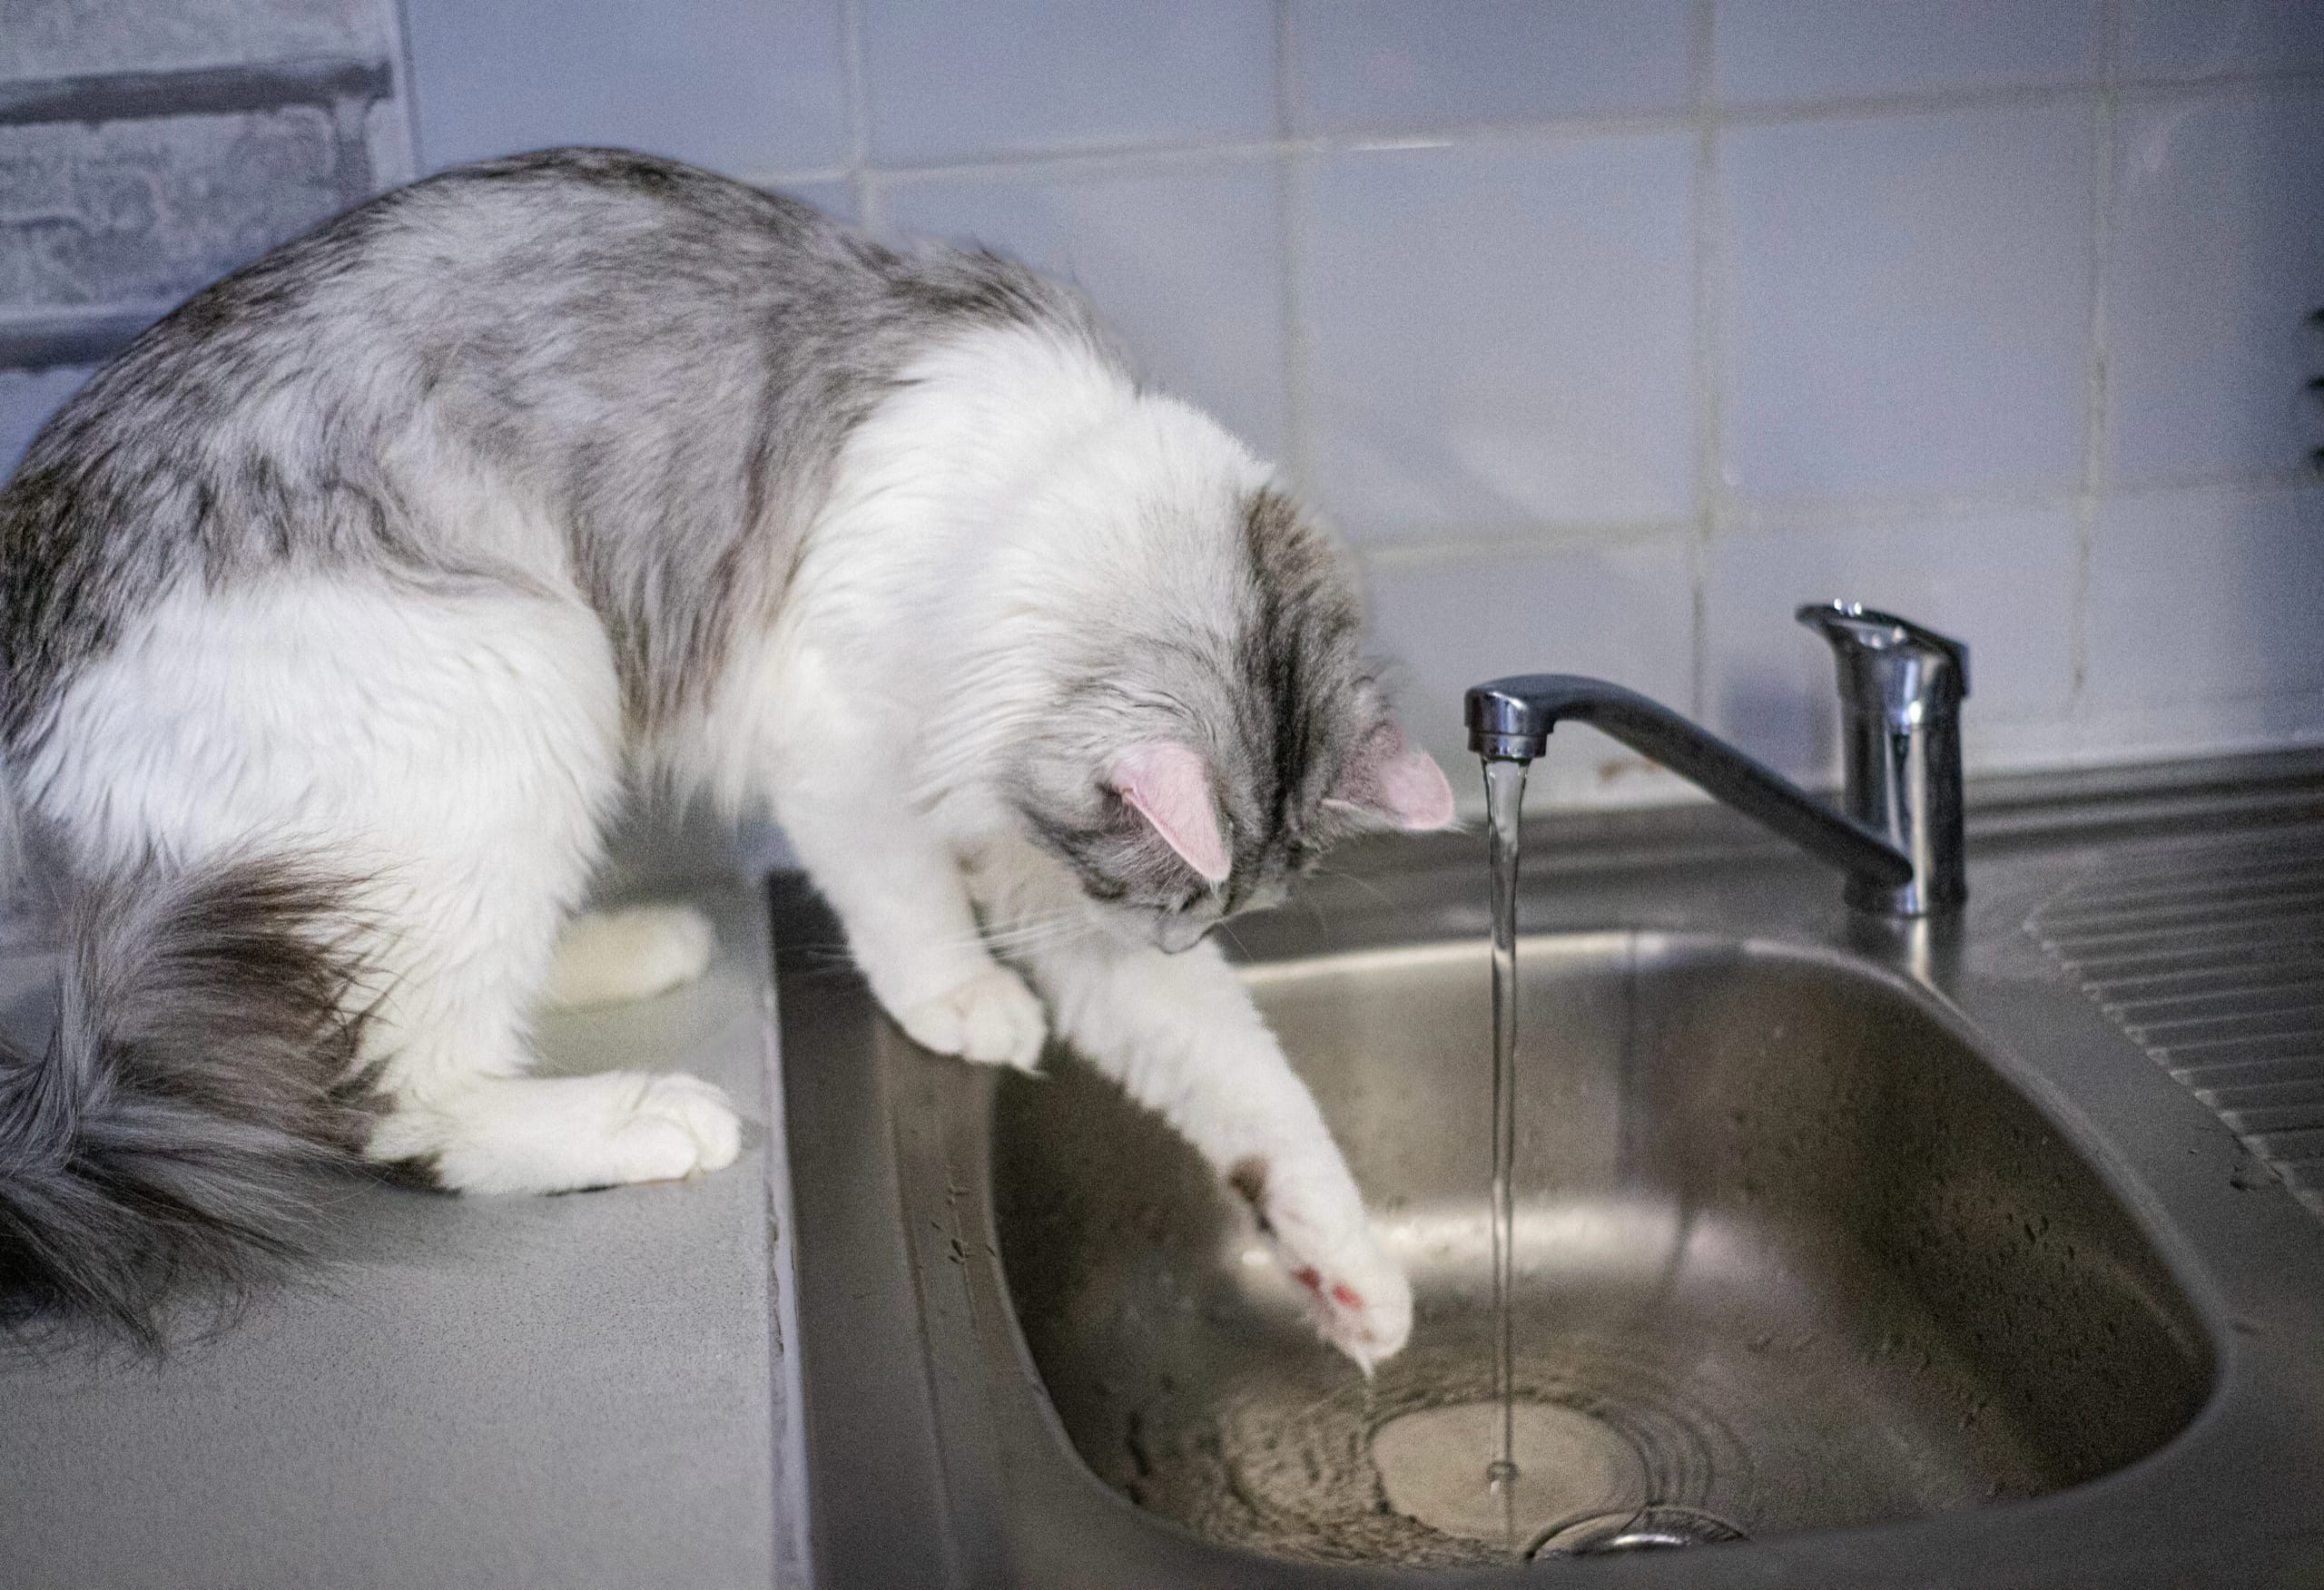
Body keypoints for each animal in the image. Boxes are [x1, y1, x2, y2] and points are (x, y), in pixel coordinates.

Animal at [0, 148, 1450, 1367]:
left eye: (1202, 914)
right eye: (1156, 897)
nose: (1164, 934)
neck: (1028, 494)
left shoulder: (1032, 856)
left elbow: (1251, 1085)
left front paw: (1352, 1273)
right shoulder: (839, 735)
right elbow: (904, 896)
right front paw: (963, 1000)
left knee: (363, 994)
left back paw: (627, 951)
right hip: (529, 675)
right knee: (393, 1093)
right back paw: (636, 1115)